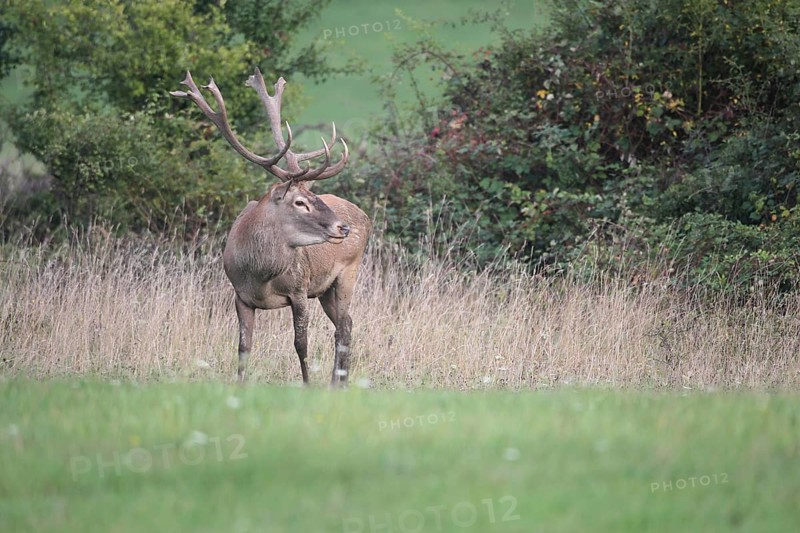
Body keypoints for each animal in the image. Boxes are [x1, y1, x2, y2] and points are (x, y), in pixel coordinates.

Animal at [171, 69, 371, 386]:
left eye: (312, 195)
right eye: (300, 202)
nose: (343, 228)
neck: (260, 274)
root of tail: (364, 215)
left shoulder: (300, 290)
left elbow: (301, 344)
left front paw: (307, 385)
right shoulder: (239, 295)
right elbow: (243, 346)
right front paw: (239, 385)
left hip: (348, 273)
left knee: (343, 326)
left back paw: (337, 383)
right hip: (324, 290)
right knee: (347, 323)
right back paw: (338, 382)